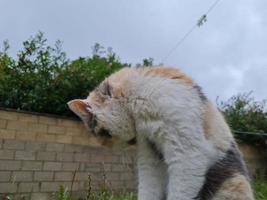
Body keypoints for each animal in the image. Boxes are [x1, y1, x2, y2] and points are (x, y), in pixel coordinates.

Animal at [67, 66, 255, 199]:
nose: (112, 148)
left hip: (231, 182)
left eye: (104, 134)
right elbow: (148, 189)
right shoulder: (149, 153)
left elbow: (180, 191)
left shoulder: (186, 153)